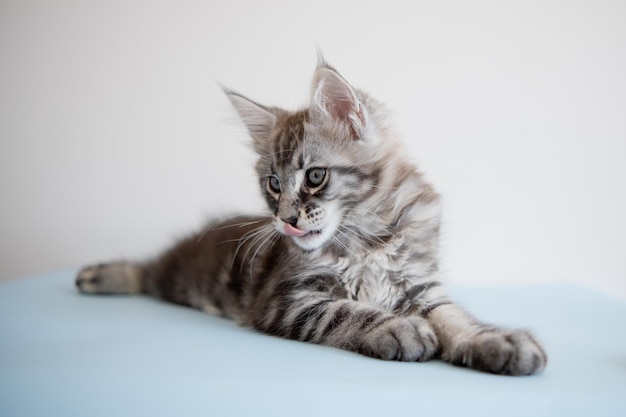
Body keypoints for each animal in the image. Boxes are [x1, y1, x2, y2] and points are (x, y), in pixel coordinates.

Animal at [77, 57, 544, 374]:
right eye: (273, 184)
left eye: (315, 176)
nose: (285, 219)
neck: (368, 238)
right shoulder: (287, 298)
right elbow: (346, 311)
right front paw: (398, 329)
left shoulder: (420, 285)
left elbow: (455, 318)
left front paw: (495, 341)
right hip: (181, 271)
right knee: (147, 271)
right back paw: (99, 276)